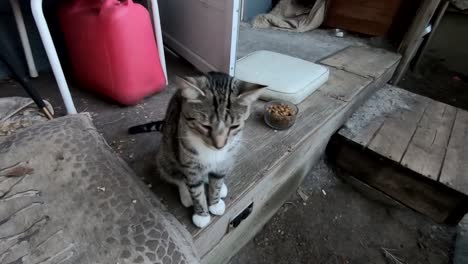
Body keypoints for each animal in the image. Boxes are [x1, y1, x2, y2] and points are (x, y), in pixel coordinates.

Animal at [130, 72, 266, 229]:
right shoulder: (190, 164)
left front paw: (215, 201)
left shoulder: (225, 160)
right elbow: (195, 189)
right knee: (176, 176)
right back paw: (185, 194)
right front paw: (202, 215)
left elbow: (216, 181)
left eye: (234, 126)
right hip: (166, 154)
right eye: (205, 126)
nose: (219, 146)